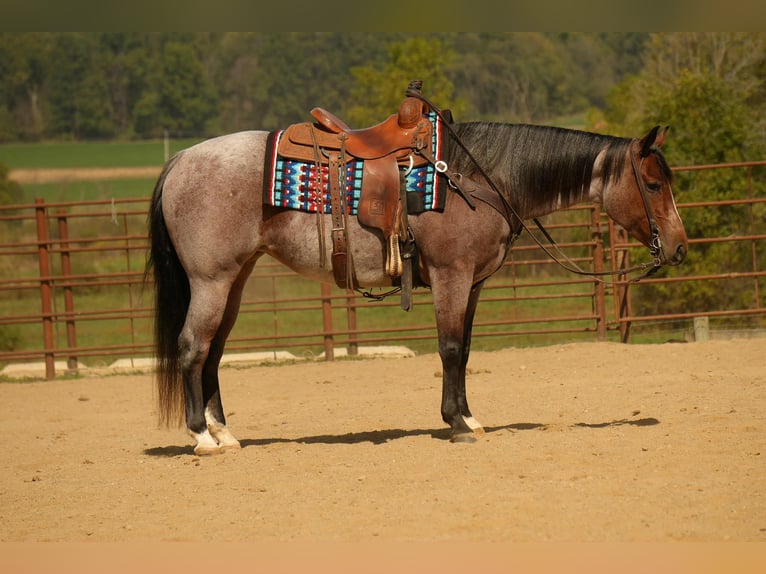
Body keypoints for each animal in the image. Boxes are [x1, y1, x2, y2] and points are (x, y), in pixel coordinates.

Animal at [146, 119, 688, 455]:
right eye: (653, 185)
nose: (680, 248)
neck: (477, 181)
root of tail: (180, 160)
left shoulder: (473, 284)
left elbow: (464, 351)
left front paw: (470, 418)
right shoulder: (452, 276)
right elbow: (447, 349)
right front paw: (456, 424)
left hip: (234, 281)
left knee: (213, 353)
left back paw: (225, 433)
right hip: (211, 281)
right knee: (192, 348)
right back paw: (203, 438)